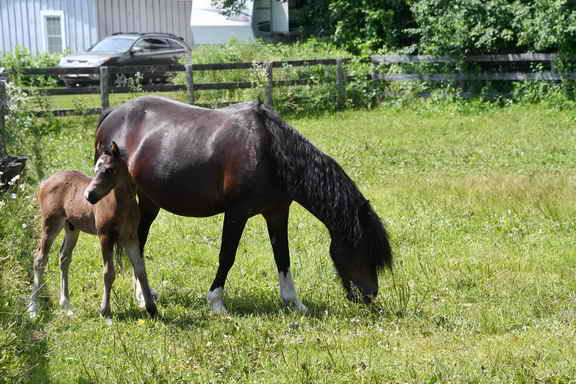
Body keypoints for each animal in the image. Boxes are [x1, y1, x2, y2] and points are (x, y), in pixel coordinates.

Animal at [27, 142, 155, 320]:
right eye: (95, 169)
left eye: (109, 169)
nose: (89, 195)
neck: (123, 207)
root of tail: (45, 181)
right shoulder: (105, 236)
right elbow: (109, 273)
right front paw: (105, 311)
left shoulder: (131, 237)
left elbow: (140, 269)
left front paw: (151, 308)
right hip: (50, 224)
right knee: (40, 259)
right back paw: (33, 308)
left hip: (71, 228)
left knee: (64, 258)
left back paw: (66, 305)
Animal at [95, 95, 392, 312]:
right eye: (362, 248)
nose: (370, 295)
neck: (270, 151)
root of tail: (113, 113)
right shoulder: (236, 213)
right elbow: (227, 255)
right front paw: (216, 303)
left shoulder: (277, 213)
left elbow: (282, 256)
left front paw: (294, 303)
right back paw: (143, 299)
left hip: (149, 201)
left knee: (139, 241)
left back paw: (145, 294)